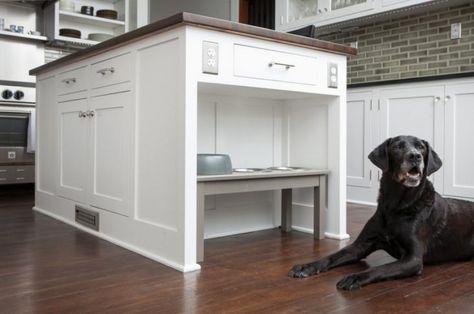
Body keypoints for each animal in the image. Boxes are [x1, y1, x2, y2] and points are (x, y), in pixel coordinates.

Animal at [286, 136, 472, 290]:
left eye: (421, 147)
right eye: (397, 146)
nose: (415, 156)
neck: (396, 206)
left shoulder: (413, 259)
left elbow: (382, 268)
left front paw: (355, 277)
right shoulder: (360, 246)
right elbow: (331, 256)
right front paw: (307, 266)